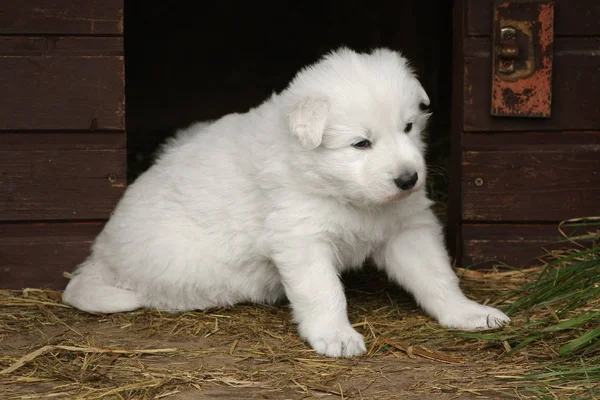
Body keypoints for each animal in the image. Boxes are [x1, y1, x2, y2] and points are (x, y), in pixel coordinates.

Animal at [63, 48, 508, 358]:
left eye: (409, 127)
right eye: (361, 144)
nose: (408, 180)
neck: (345, 193)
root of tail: (99, 258)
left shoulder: (407, 228)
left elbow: (437, 277)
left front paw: (468, 313)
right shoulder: (301, 239)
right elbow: (324, 291)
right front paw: (335, 336)